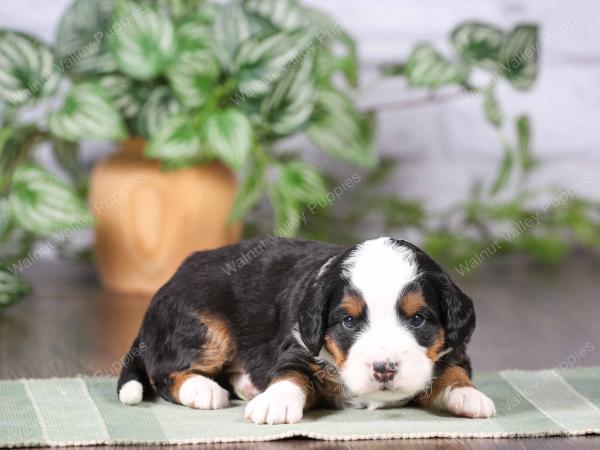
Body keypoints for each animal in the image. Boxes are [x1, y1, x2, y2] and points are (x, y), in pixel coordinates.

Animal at [118, 237, 496, 424]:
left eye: (417, 319)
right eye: (348, 322)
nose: (384, 368)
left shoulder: (454, 349)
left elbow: (453, 372)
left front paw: (469, 396)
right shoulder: (298, 346)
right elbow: (291, 375)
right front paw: (275, 401)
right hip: (204, 326)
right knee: (165, 372)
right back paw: (203, 390)